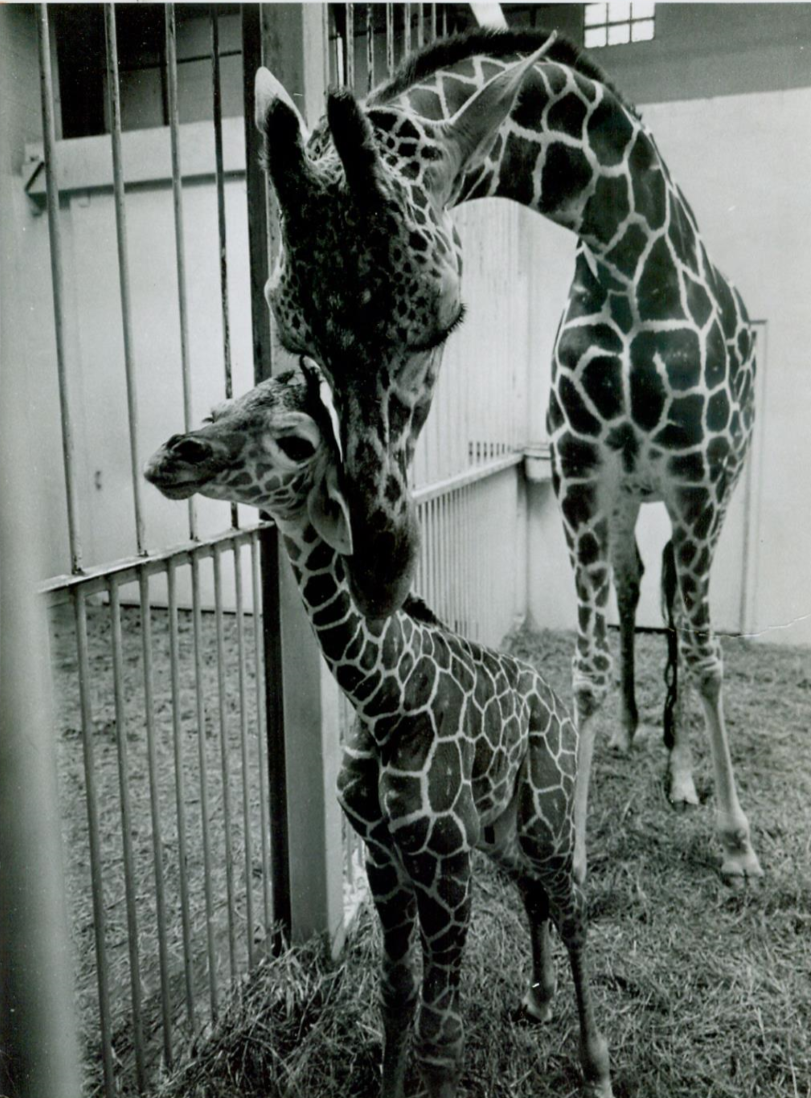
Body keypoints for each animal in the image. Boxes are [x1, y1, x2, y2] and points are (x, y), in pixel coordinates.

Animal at [144, 364, 610, 1098]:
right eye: (221, 407)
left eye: (296, 441)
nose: (175, 453)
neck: (383, 694)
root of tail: (550, 697)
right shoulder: (383, 856)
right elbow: (395, 996)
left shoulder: (443, 865)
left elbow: (440, 1034)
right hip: (497, 830)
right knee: (534, 893)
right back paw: (537, 1001)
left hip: (545, 814)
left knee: (572, 907)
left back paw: (596, 1066)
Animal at [256, 27, 763, 882]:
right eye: (294, 334)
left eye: (446, 317)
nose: (378, 570)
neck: (630, 257)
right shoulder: (581, 478)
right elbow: (586, 667)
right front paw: (577, 842)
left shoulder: (697, 481)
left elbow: (704, 656)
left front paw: (735, 842)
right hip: (627, 498)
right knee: (637, 585)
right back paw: (637, 735)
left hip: (713, 491)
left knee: (678, 611)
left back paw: (681, 774)